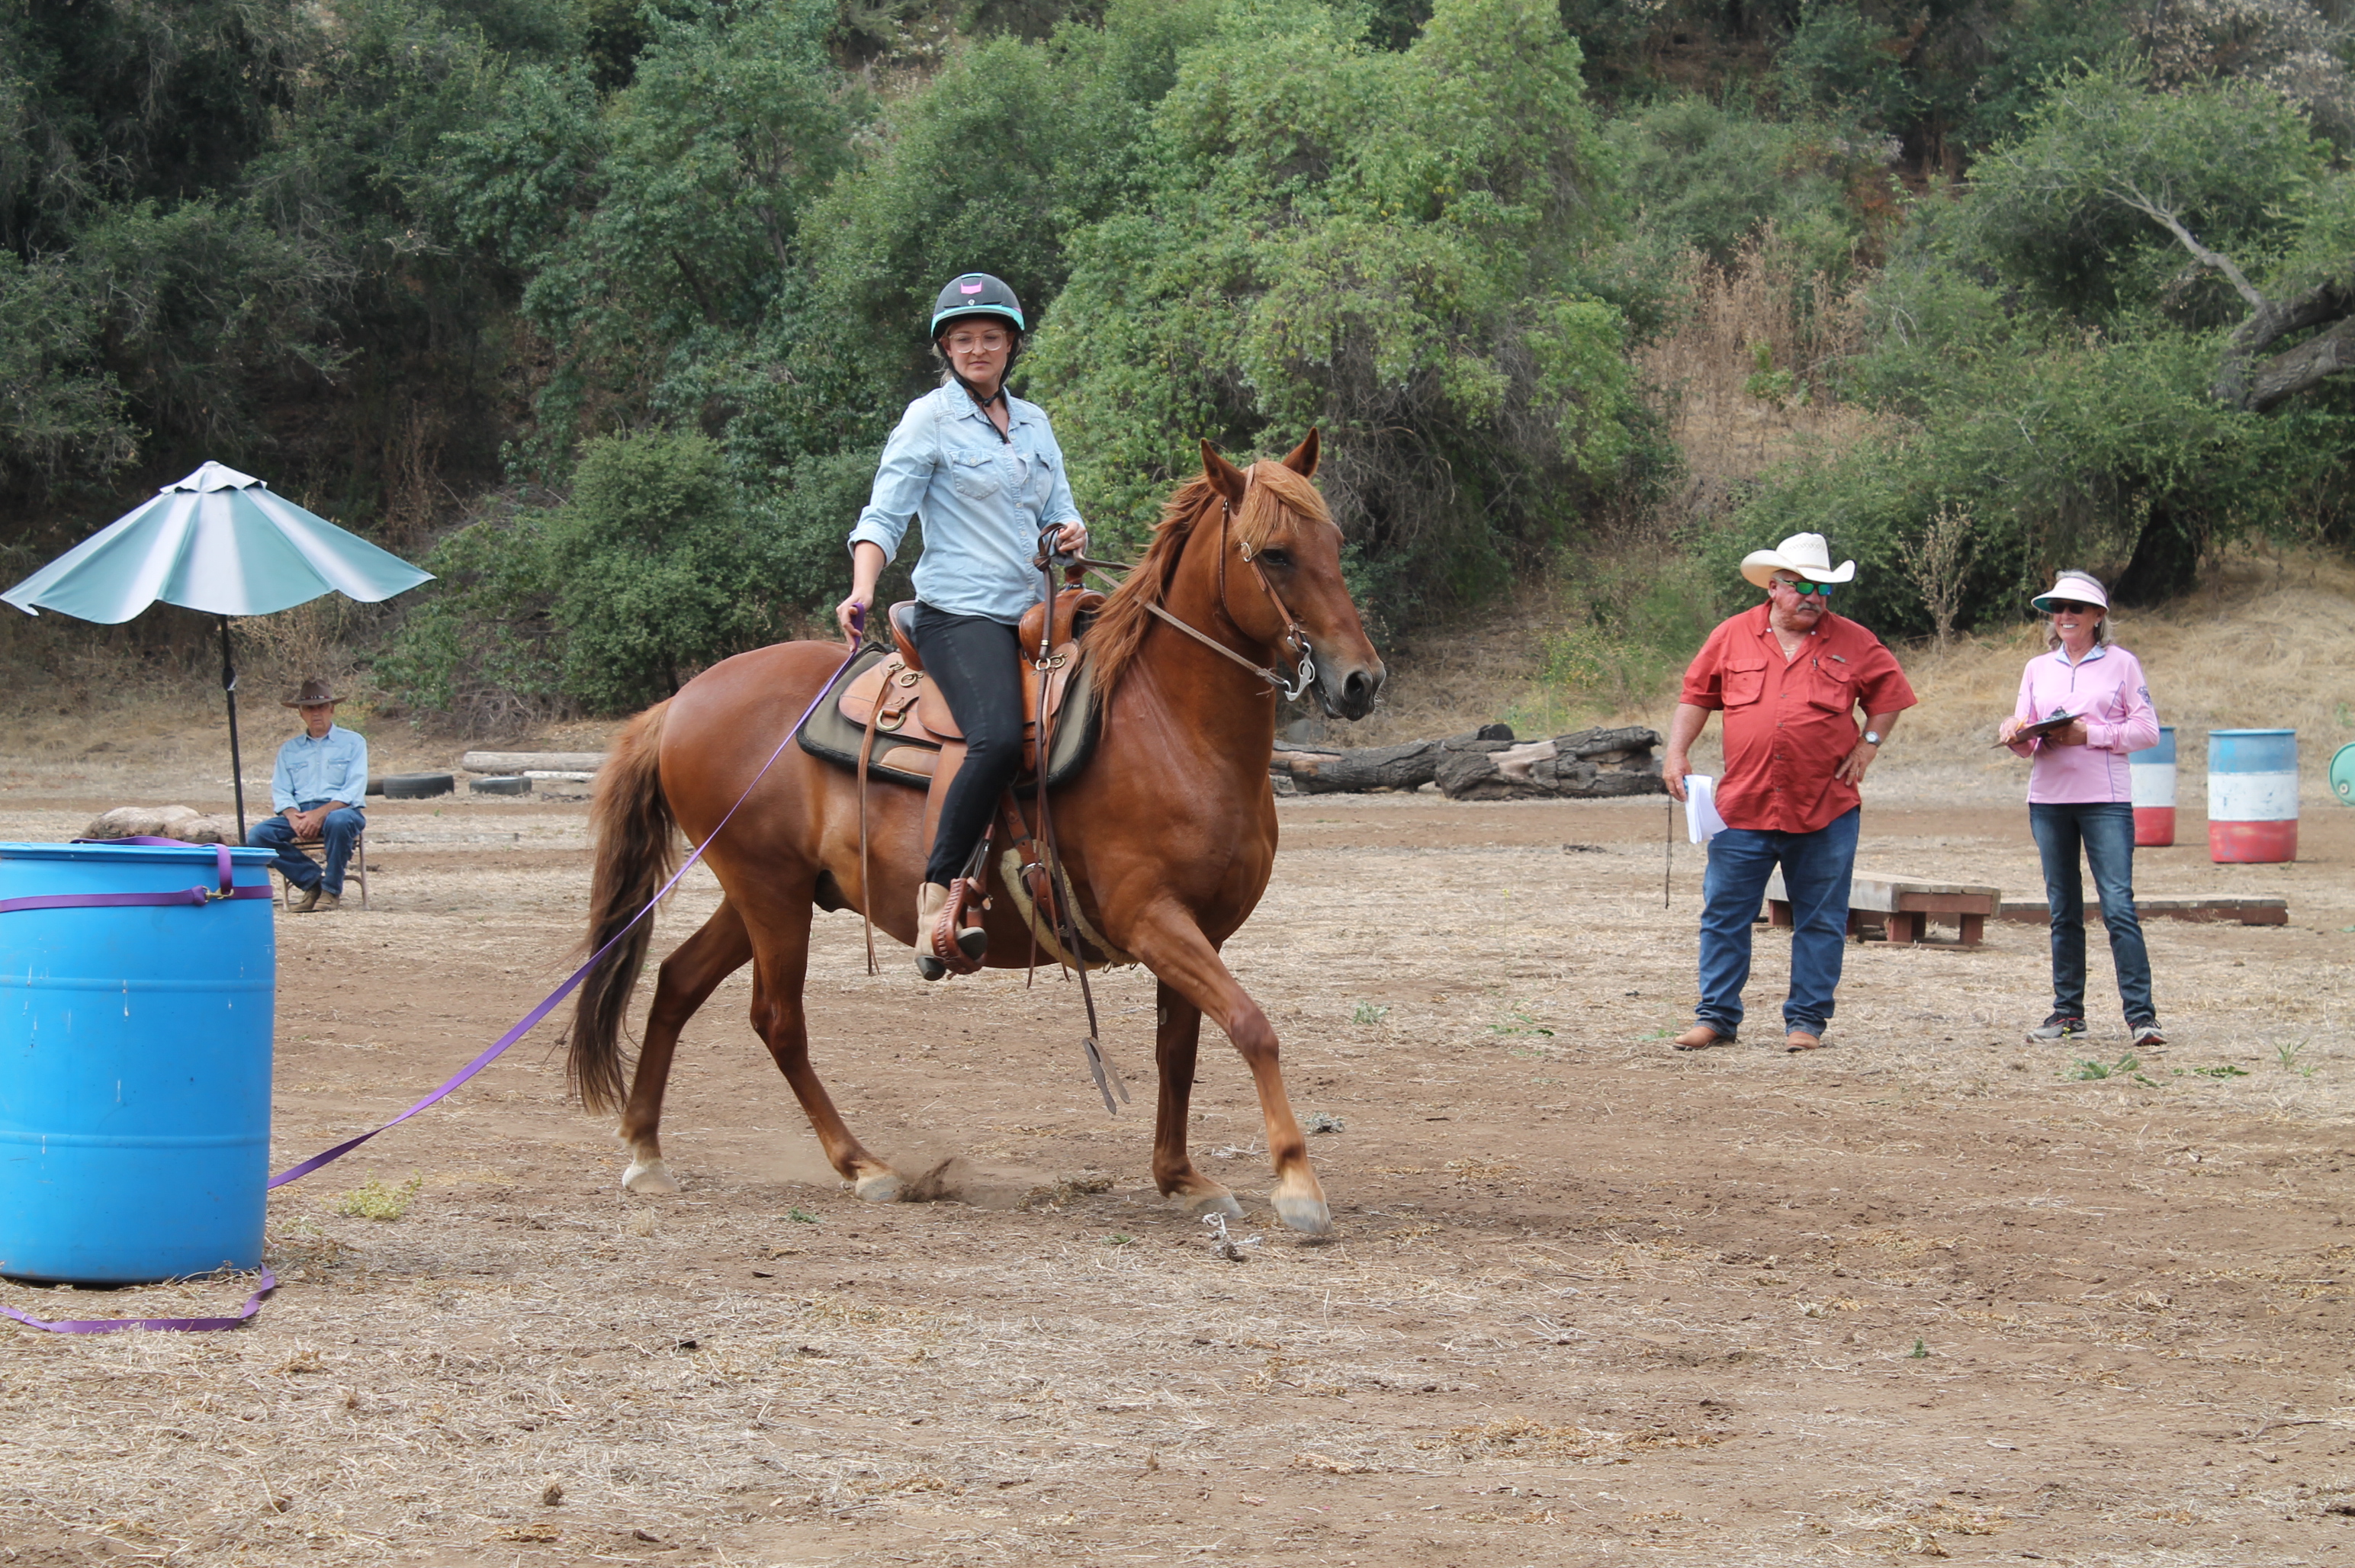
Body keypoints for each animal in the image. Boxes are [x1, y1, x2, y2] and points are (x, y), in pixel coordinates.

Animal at [567, 430, 1375, 1233]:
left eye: (1334, 541)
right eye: (1275, 553)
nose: (1361, 681)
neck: (1166, 723)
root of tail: (680, 701)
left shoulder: (1204, 927)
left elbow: (1179, 1049)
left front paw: (1181, 1178)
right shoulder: (1151, 918)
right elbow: (1250, 1024)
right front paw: (1298, 1184)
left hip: (768, 894)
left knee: (677, 982)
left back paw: (646, 1150)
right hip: (768, 894)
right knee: (778, 1020)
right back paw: (864, 1166)